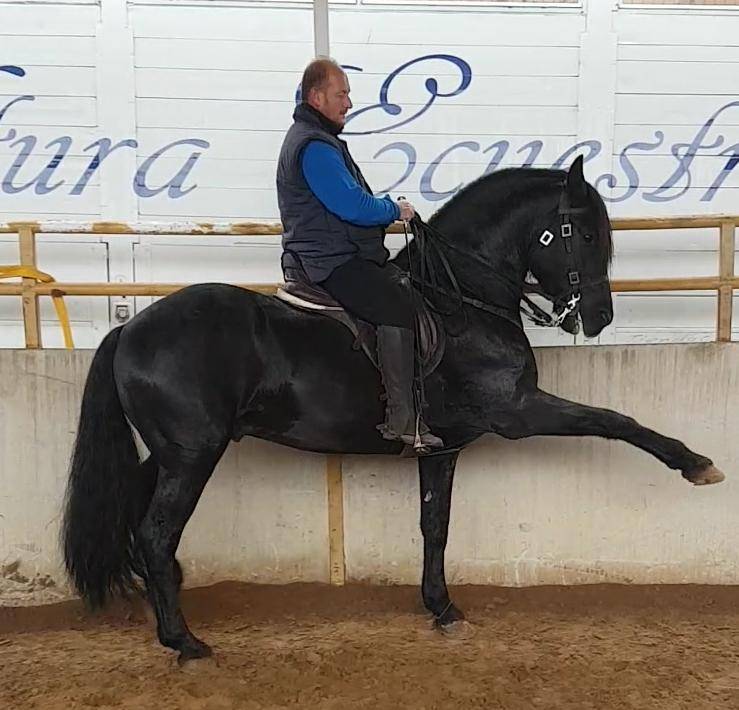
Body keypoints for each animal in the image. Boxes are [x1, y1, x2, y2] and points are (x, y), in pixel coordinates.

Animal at [61, 156, 725, 664]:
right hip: (193, 455)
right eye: (582, 234)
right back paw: (184, 641)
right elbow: (616, 421)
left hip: (171, 453)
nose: (601, 317)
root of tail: (132, 328)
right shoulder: (518, 413)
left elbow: (435, 525)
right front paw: (695, 463)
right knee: (156, 532)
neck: (463, 299)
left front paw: (443, 607)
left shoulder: (445, 446)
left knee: (138, 522)